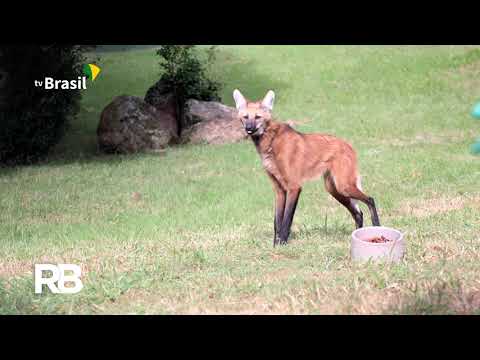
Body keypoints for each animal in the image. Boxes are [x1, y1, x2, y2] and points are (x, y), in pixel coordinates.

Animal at [234, 89, 380, 246]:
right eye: (245, 117)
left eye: (258, 117)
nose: (249, 129)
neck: (271, 142)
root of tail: (349, 145)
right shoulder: (279, 190)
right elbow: (276, 222)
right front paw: (275, 246)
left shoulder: (294, 187)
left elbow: (286, 221)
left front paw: (283, 244)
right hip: (334, 189)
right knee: (358, 213)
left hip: (343, 186)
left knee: (370, 200)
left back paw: (377, 226)